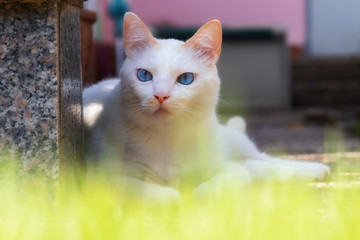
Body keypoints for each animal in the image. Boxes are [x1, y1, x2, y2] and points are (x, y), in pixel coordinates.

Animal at [83, 12, 330, 201]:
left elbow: (235, 176)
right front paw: (171, 195)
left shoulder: (224, 166)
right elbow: (135, 187)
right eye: (144, 75)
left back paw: (316, 169)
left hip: (233, 145)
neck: (168, 138)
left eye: (185, 79)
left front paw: (201, 192)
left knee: (262, 160)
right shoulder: (96, 179)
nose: (161, 95)